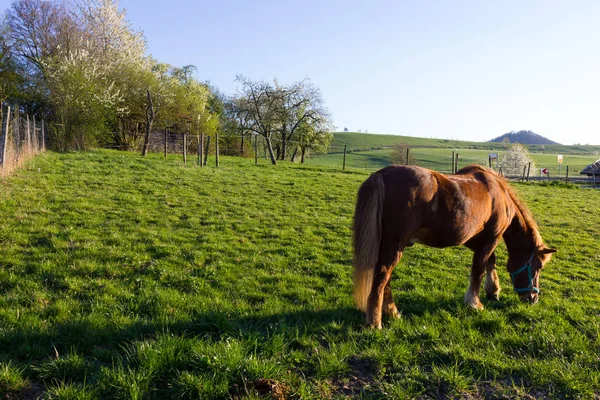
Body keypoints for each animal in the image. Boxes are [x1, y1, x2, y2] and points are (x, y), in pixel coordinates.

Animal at [354, 165, 556, 328]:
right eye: (538, 266)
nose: (533, 298)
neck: (499, 194)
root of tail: (382, 174)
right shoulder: (491, 238)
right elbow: (478, 269)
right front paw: (475, 303)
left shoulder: (474, 240)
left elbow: (490, 261)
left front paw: (493, 291)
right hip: (394, 245)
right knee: (382, 276)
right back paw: (375, 322)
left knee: (385, 279)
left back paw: (392, 312)